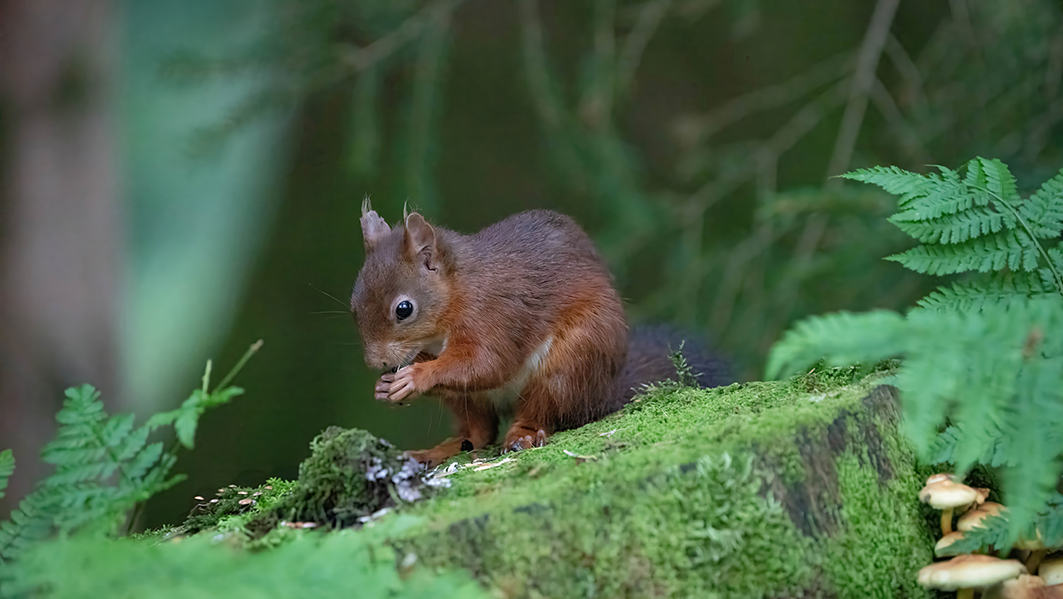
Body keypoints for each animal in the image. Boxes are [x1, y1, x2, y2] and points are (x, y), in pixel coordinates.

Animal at [350, 200, 730, 467]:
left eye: (404, 309)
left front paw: (416, 376)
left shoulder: (495, 316)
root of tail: (606, 392)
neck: (459, 291)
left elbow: (488, 363)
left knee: (543, 413)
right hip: (470, 400)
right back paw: (435, 452)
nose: (374, 362)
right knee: (479, 432)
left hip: (569, 364)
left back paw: (524, 436)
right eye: (354, 305)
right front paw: (385, 387)